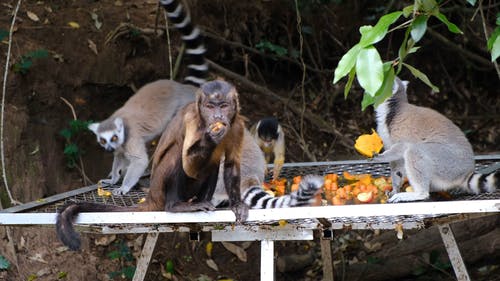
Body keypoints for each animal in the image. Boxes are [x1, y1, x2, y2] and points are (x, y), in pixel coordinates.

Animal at [88, 0, 207, 192]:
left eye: (114, 137)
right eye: (103, 140)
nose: (109, 148)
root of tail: (180, 87)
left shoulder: (131, 139)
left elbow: (139, 161)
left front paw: (123, 187)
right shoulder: (121, 148)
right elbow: (119, 157)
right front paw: (113, 179)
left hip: (183, 112)